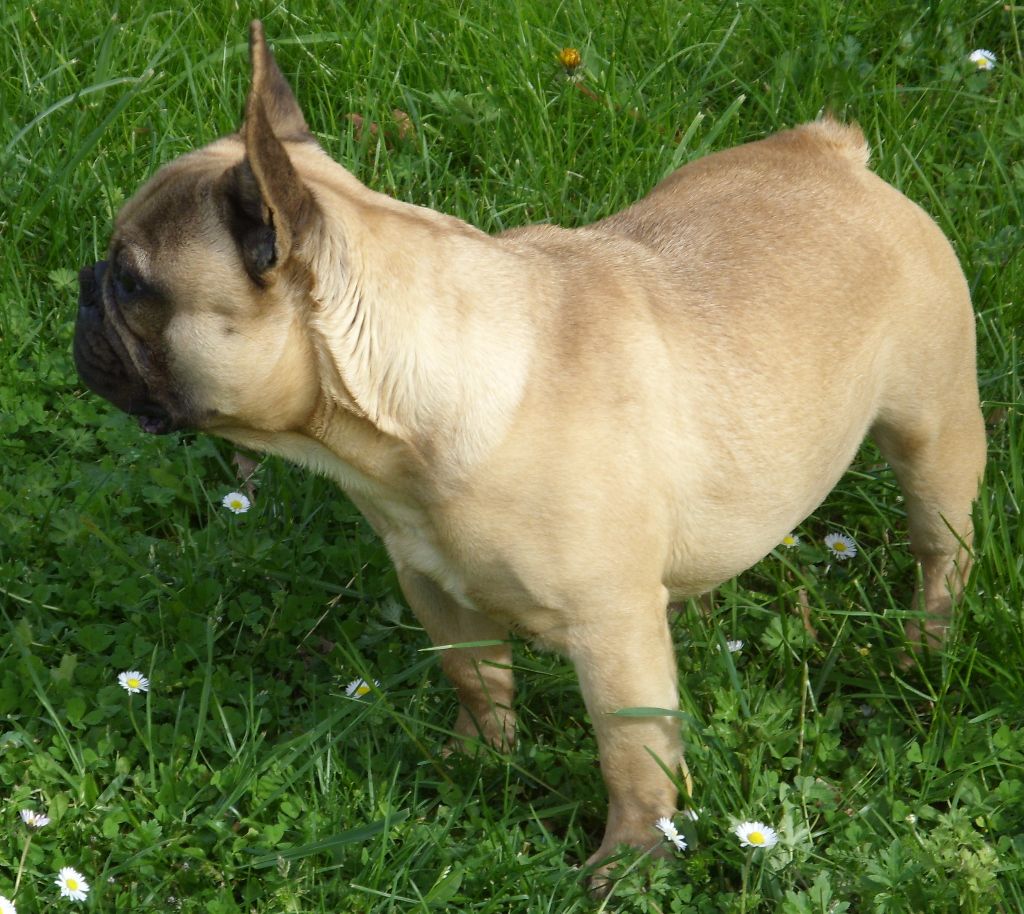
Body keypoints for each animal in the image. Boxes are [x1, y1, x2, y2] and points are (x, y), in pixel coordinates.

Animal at [72, 19, 983, 884]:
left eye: (133, 283)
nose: (84, 282)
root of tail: (832, 151)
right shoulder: (437, 589)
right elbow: (478, 682)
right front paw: (479, 764)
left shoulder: (610, 633)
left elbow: (631, 757)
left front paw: (630, 862)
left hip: (934, 431)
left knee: (942, 547)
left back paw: (927, 648)